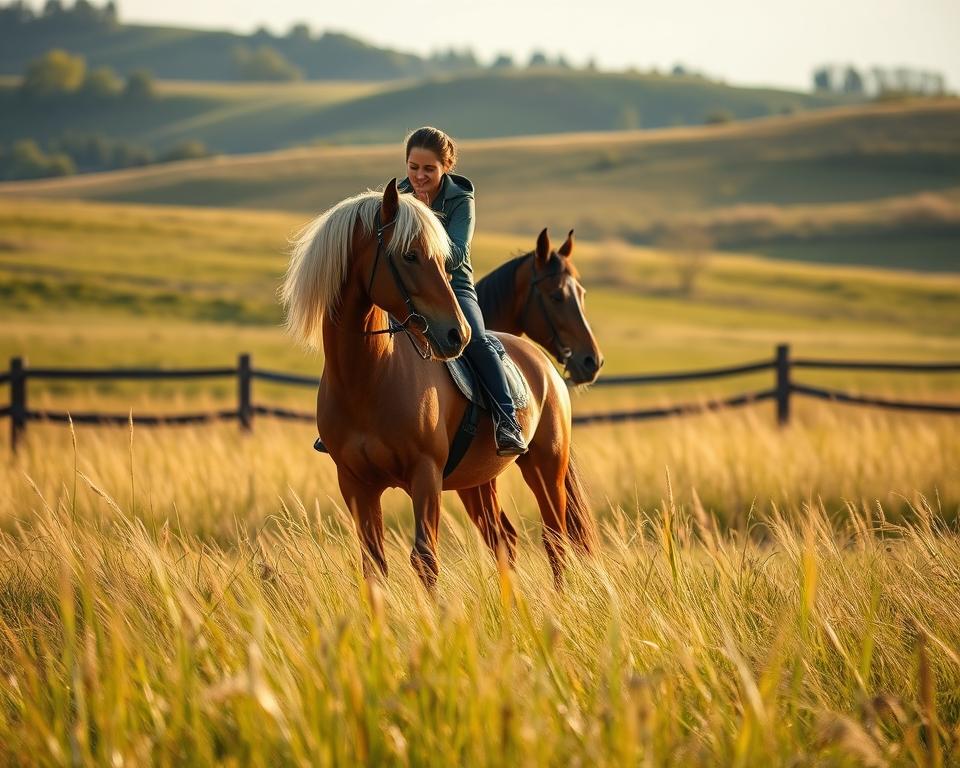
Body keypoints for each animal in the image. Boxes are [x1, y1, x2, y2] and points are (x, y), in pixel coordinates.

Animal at [282, 180, 597, 588]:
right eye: (410, 255)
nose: (457, 334)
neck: (368, 377)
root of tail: (544, 367)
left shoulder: (426, 476)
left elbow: (425, 560)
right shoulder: (355, 484)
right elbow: (373, 566)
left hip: (545, 468)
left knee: (554, 539)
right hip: (478, 484)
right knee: (504, 540)